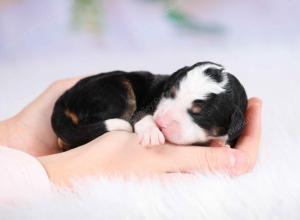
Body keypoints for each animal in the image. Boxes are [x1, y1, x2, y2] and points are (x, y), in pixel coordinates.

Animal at [51, 62, 247, 151]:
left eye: (198, 113)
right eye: (169, 93)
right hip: (117, 93)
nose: (161, 122)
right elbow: (141, 116)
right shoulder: (147, 106)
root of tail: (66, 97)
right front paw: (152, 133)